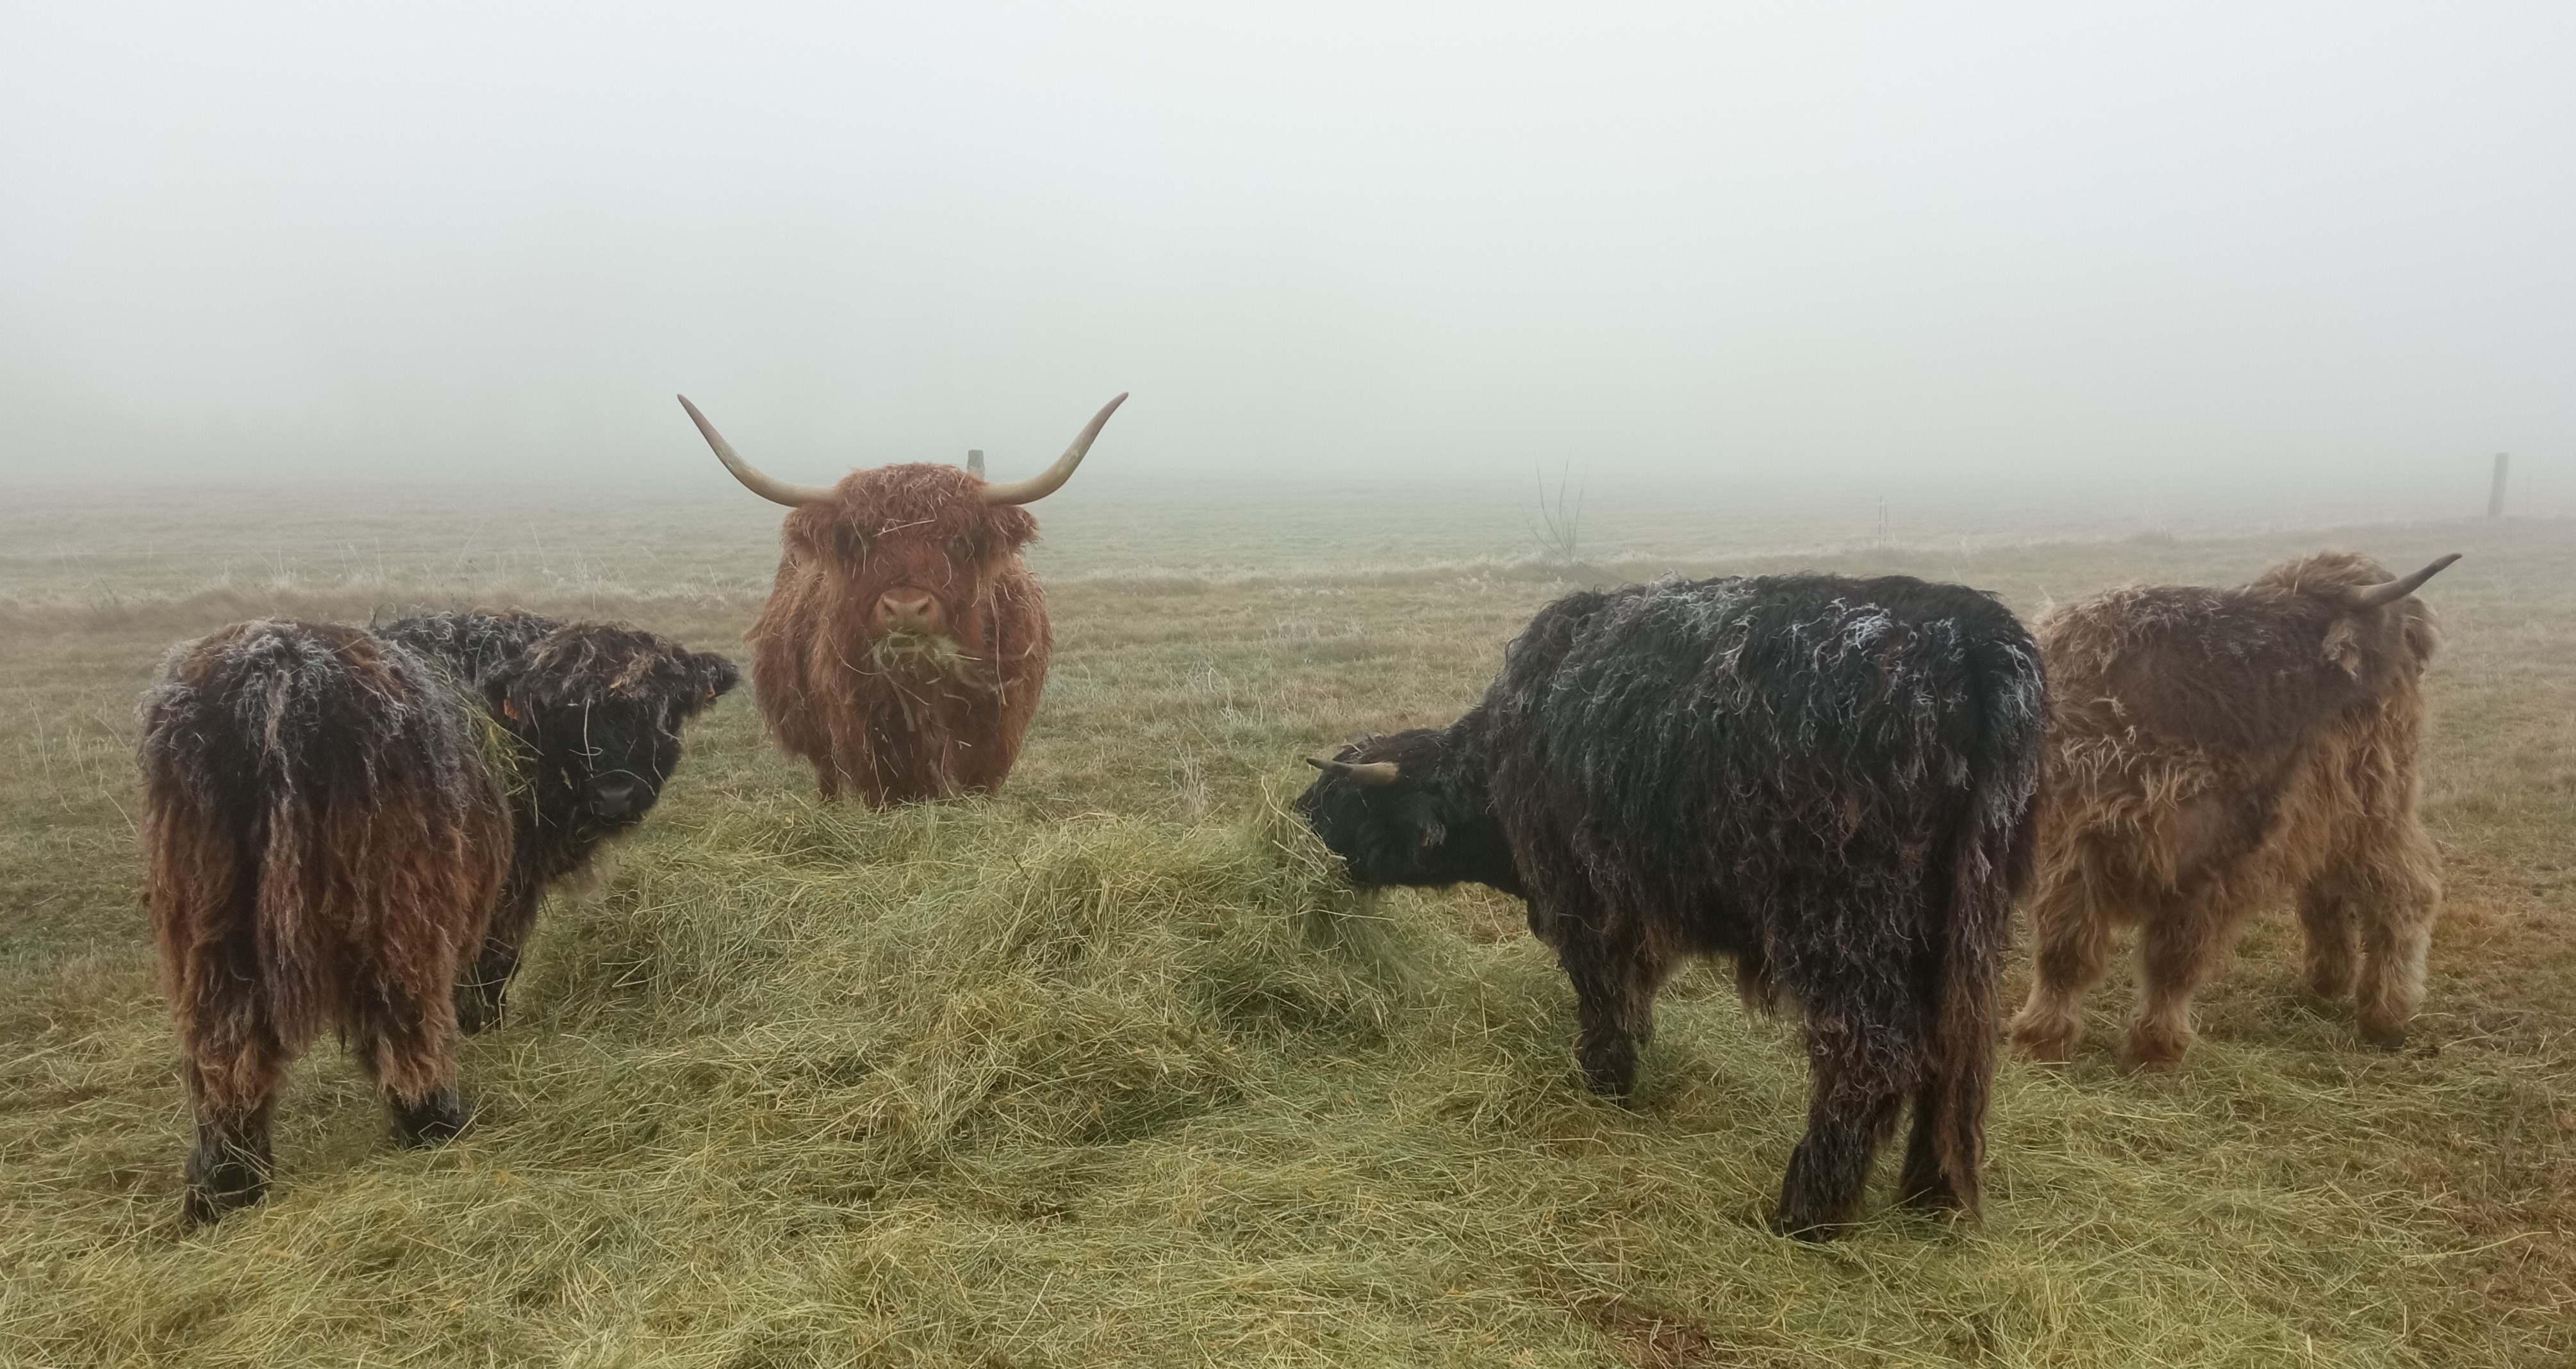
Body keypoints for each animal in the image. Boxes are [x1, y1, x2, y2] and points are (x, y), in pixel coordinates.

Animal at [142, 610, 736, 1220]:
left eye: (660, 709)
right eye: (569, 710)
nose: (616, 792)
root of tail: (278, 671)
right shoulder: (506, 884)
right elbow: (492, 967)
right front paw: (483, 1027)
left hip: (209, 920)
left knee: (224, 1044)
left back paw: (227, 1186)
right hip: (396, 903)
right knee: (401, 1012)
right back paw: (436, 1124)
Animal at [680, 391, 1123, 803]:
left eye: (959, 542)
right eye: (860, 544)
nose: (907, 609)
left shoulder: (991, 751)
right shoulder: (873, 758)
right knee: (827, 778)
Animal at [1298, 571, 2040, 1235]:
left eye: (1340, 800)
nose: (1293, 818)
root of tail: (1974, 632)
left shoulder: (1583, 898)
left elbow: (1604, 995)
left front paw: (1605, 1084)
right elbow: (1632, 994)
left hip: (1845, 921)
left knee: (1874, 1052)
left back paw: (1808, 1211)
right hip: (1965, 928)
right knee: (1957, 1055)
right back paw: (1932, 1198)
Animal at [2009, 550, 2452, 1076]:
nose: (2421, 641)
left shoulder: (2210, 865)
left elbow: (2173, 961)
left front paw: (2155, 1049)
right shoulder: (2072, 850)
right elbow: (2065, 952)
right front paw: (2040, 1041)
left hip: (2371, 812)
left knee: (2407, 892)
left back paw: (2385, 1015)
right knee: (2339, 891)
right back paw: (2329, 986)